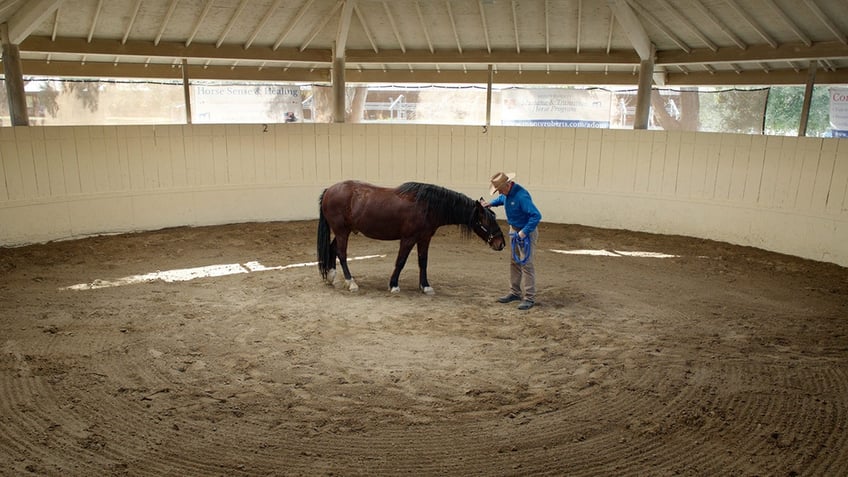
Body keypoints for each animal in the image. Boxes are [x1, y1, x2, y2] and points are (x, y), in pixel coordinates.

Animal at [316, 180, 504, 292]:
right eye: (486, 222)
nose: (501, 243)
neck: (427, 206)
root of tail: (329, 190)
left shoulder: (424, 239)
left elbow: (423, 262)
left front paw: (425, 286)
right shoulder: (408, 239)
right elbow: (401, 261)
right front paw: (393, 284)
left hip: (344, 231)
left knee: (333, 249)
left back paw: (332, 277)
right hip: (342, 231)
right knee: (342, 254)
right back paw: (351, 282)